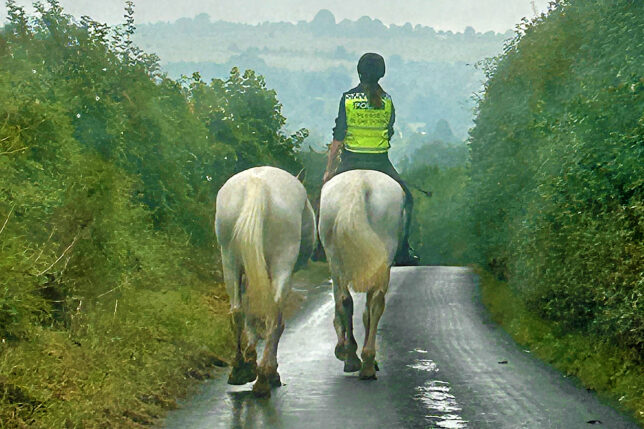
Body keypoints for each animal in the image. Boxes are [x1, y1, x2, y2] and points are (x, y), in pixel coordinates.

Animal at [215, 166, 316, 396]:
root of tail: (258, 185)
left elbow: (250, 313)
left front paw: (250, 357)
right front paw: (270, 371)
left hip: (230, 259)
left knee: (237, 312)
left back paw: (240, 369)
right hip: (282, 262)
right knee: (274, 318)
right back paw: (264, 378)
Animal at [318, 170, 405, 380]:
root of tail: (360, 184)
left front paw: (342, 349)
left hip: (336, 259)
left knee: (346, 300)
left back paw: (353, 358)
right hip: (382, 256)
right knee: (374, 302)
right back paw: (366, 363)